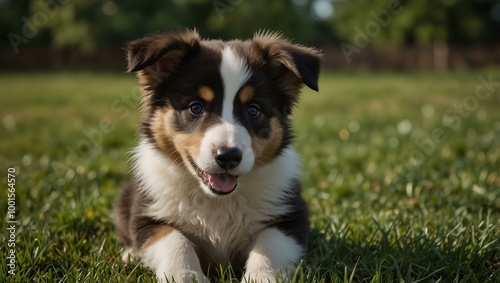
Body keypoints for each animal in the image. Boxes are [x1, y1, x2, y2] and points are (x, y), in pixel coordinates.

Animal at [114, 28, 320, 282]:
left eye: (253, 110)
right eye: (195, 107)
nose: (228, 156)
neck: (217, 201)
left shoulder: (290, 217)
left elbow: (269, 244)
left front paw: (262, 276)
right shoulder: (146, 215)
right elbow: (174, 240)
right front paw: (185, 275)